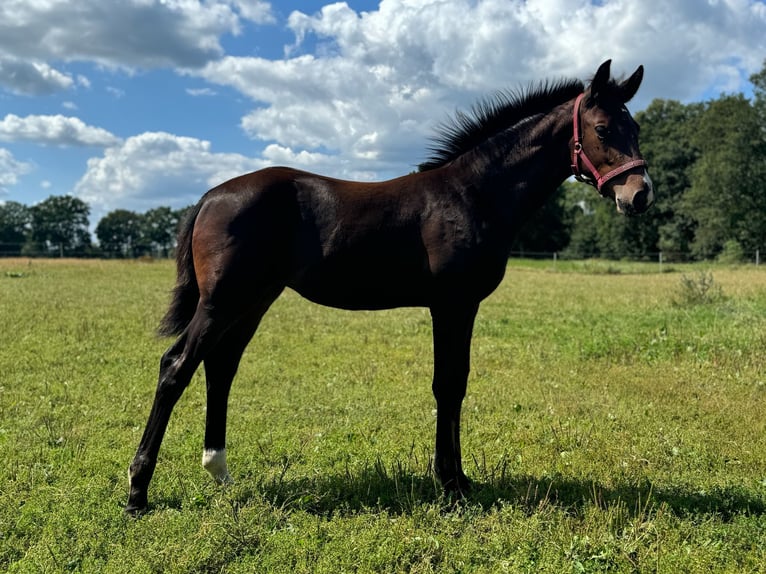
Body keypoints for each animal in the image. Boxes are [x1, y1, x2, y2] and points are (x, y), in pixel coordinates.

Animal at [126, 60, 656, 516]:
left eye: (636, 129)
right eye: (604, 129)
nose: (640, 195)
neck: (474, 193)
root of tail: (210, 197)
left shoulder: (459, 307)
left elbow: (456, 384)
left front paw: (458, 479)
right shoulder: (452, 304)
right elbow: (448, 385)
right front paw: (450, 483)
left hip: (252, 300)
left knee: (221, 366)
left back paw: (218, 470)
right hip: (222, 301)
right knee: (176, 367)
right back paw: (138, 492)